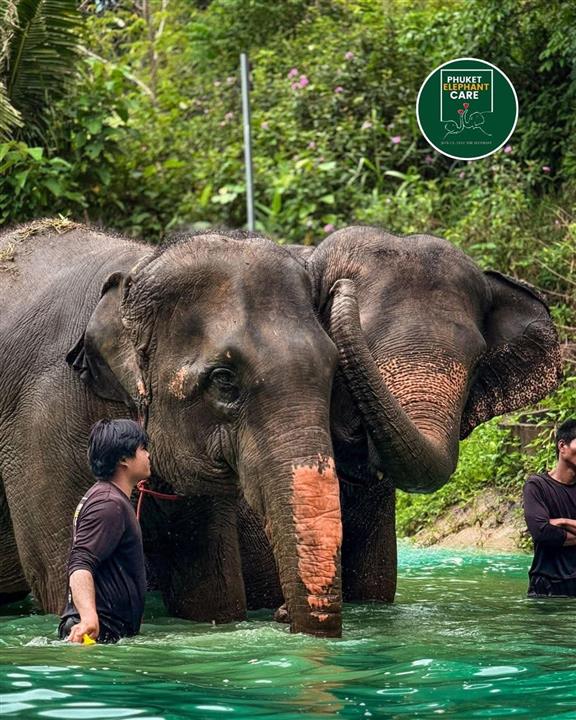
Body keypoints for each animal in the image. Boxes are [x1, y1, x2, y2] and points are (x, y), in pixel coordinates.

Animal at [0, 219, 342, 637]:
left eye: (333, 368)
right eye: (224, 379)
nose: (280, 613)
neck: (138, 267)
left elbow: (209, 587)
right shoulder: (46, 417)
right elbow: (65, 567)